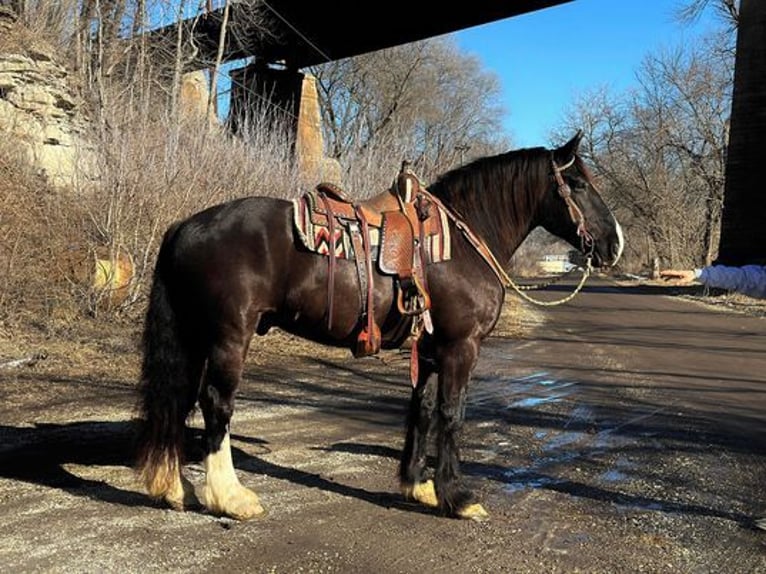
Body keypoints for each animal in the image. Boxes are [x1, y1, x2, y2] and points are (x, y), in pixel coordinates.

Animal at [135, 130, 624, 520]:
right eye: (578, 183)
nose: (614, 243)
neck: (462, 242)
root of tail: (185, 226)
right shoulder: (460, 347)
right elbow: (452, 414)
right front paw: (458, 498)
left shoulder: (430, 350)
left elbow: (421, 410)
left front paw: (418, 486)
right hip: (228, 336)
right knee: (216, 402)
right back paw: (232, 498)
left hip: (195, 335)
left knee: (180, 399)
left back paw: (174, 488)